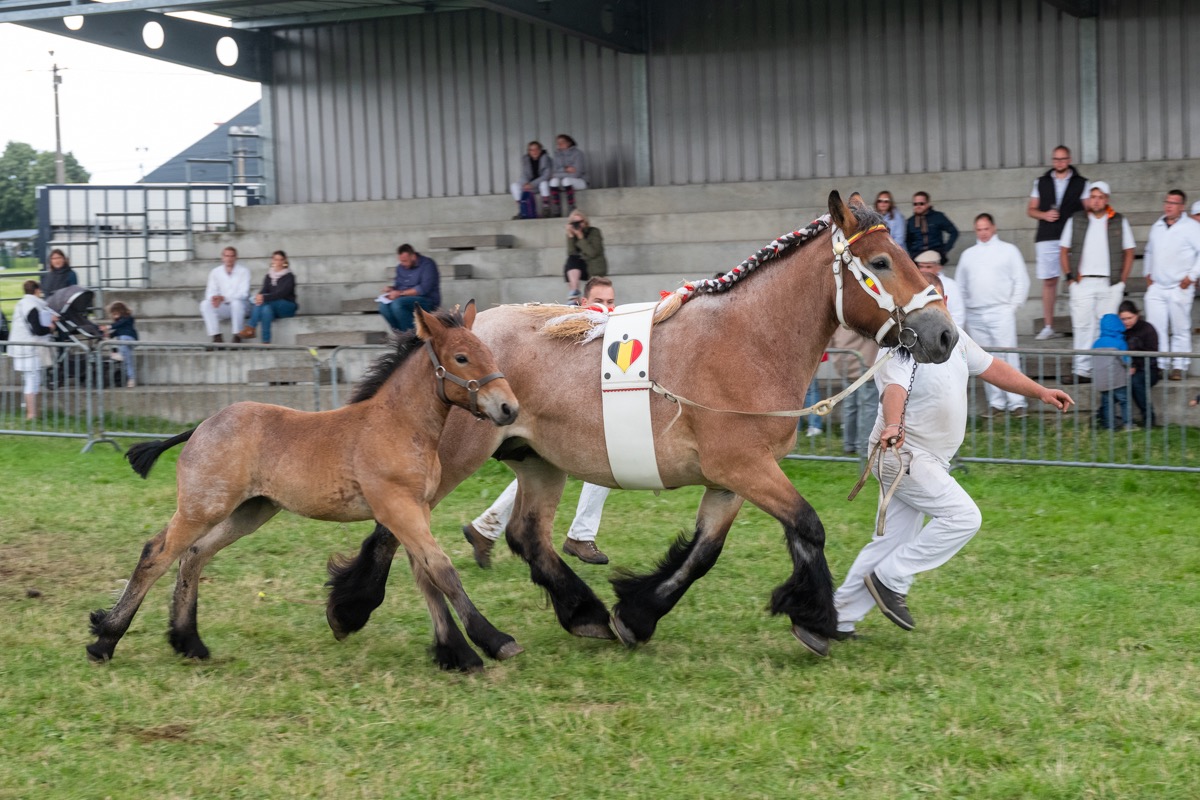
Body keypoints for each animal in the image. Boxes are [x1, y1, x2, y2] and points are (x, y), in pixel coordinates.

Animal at [88, 303, 520, 671]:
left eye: (489, 352)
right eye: (461, 358)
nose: (509, 408)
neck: (398, 425)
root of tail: (201, 426)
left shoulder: (417, 510)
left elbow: (426, 575)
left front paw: (456, 652)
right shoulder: (399, 508)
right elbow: (442, 570)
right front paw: (493, 641)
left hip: (250, 511)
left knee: (193, 556)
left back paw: (188, 642)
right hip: (202, 507)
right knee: (156, 554)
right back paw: (105, 639)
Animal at [326, 190, 955, 662]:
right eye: (880, 263)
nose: (944, 334)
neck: (749, 339)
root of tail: (442, 336)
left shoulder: (730, 480)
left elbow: (703, 554)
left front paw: (636, 614)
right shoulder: (745, 467)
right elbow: (809, 527)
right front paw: (815, 620)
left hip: (537, 461)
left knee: (526, 535)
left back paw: (585, 614)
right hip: (453, 459)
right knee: (396, 530)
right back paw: (352, 609)